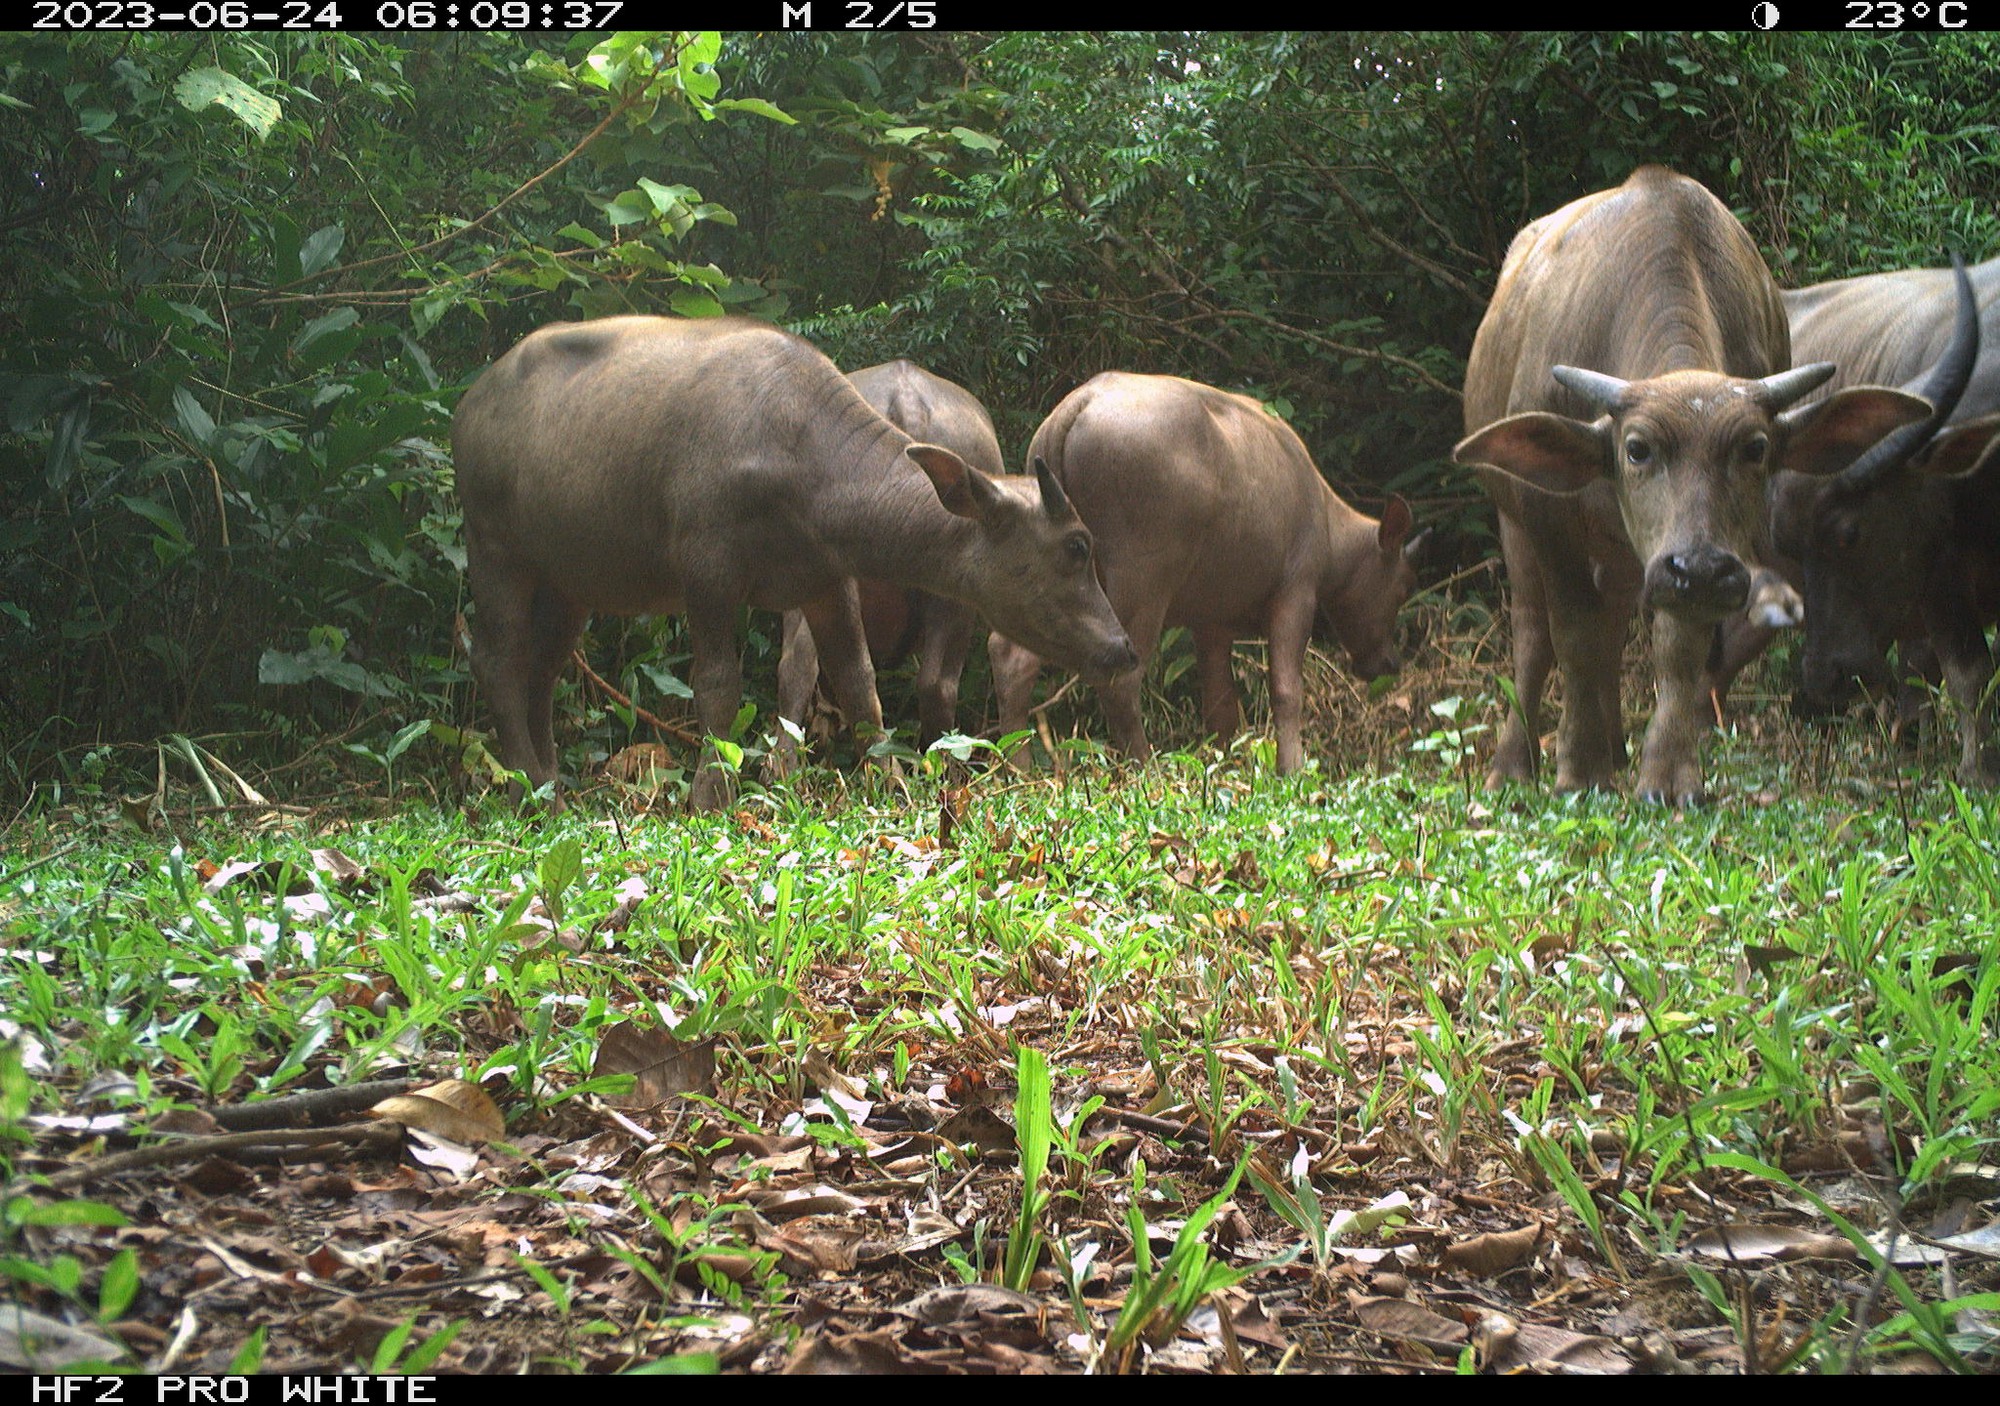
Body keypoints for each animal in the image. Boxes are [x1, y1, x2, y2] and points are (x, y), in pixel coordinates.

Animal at [988, 368, 1424, 776]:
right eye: (1403, 586)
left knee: (1011, 657)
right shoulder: (1296, 591)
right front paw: (1292, 767)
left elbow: (1220, 705)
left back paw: (1020, 768)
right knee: (1120, 678)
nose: (1390, 662)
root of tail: (1073, 408)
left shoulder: (1211, 617)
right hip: (1142, 577)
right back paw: (1144, 768)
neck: (1330, 531)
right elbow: (1286, 689)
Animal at [1456, 165, 1936, 804]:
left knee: (1614, 623)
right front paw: (1579, 769)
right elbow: (1571, 636)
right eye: (1636, 448)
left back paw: (1615, 744)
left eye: (1755, 449)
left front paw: (1666, 774)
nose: (1702, 568)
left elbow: (1676, 648)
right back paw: (1515, 762)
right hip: (1515, 519)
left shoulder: (1690, 560)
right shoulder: (1549, 518)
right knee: (1534, 633)